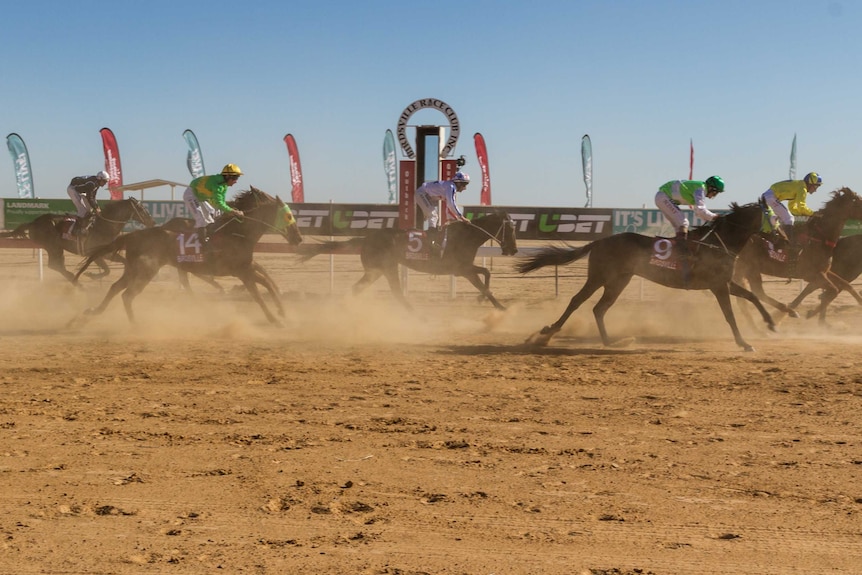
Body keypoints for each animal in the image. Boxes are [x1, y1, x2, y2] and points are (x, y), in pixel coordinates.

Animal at [0, 198, 155, 284]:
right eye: (142, 208)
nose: (152, 221)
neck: (104, 226)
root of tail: (33, 223)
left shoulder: (108, 253)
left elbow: (120, 264)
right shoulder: (98, 253)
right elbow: (107, 270)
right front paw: (91, 275)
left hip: (54, 248)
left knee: (56, 265)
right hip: (53, 246)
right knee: (55, 265)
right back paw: (75, 279)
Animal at [74, 187, 304, 326]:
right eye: (288, 216)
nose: (298, 237)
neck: (238, 233)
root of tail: (132, 235)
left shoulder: (246, 267)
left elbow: (267, 283)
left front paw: (282, 311)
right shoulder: (242, 271)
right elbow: (258, 293)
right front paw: (275, 318)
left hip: (133, 269)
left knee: (115, 288)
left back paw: (92, 312)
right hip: (146, 270)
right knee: (127, 295)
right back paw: (136, 325)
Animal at [516, 205, 780, 354]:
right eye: (773, 217)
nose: (782, 237)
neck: (718, 242)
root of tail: (600, 241)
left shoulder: (724, 282)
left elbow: (752, 296)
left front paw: (771, 324)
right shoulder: (718, 286)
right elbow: (730, 316)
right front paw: (745, 343)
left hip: (619, 280)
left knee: (599, 308)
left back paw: (611, 342)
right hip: (600, 276)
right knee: (577, 301)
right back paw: (549, 331)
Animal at [732, 187, 862, 318]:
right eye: (859, 201)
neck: (819, 238)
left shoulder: (825, 271)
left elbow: (845, 284)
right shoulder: (811, 274)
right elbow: (833, 289)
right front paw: (810, 313)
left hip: (747, 268)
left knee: (752, 293)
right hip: (748, 267)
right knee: (753, 293)